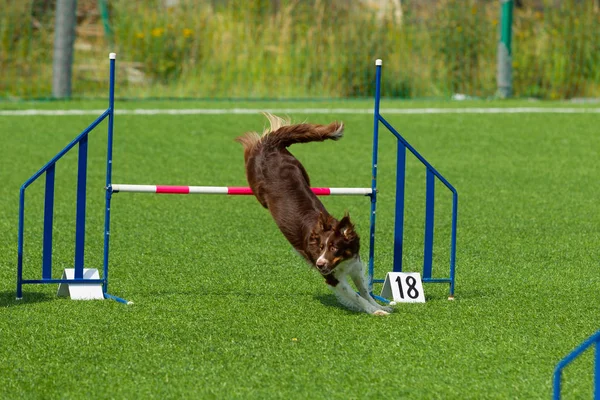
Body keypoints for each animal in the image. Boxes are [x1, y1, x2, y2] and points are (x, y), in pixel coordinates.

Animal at [234, 113, 394, 316]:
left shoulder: (355, 265)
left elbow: (365, 290)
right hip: (257, 185)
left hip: (300, 168)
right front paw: (374, 311)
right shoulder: (333, 277)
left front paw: (380, 306)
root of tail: (271, 145)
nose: (319, 264)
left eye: (334, 247)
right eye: (320, 247)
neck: (342, 261)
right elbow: (357, 296)